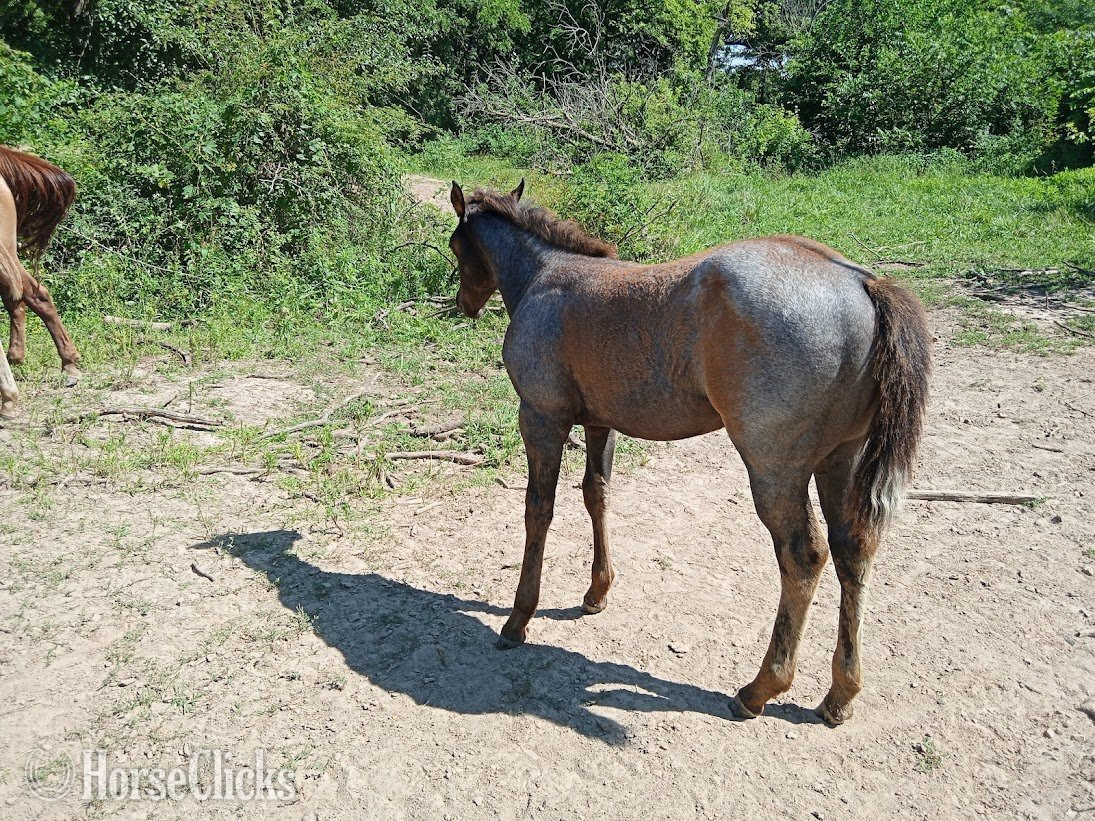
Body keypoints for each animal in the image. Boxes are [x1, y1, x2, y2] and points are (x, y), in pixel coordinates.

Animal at [447, 180, 931, 725]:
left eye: (456, 246)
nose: (464, 303)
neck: (545, 277)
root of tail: (862, 284)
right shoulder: (599, 423)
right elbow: (596, 495)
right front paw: (597, 593)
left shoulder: (540, 417)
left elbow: (539, 511)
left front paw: (518, 618)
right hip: (840, 458)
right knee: (853, 549)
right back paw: (840, 695)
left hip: (775, 469)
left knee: (804, 556)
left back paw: (759, 689)